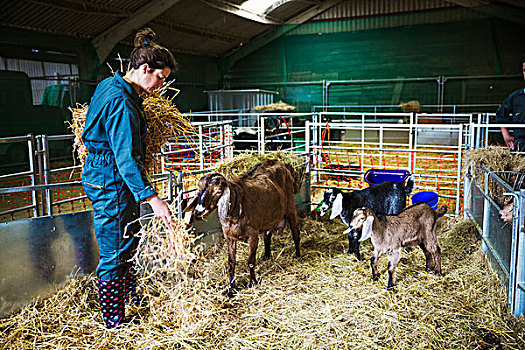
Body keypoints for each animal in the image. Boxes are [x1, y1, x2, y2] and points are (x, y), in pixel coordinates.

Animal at [184, 160, 298, 296]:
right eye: (200, 189)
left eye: (218, 192)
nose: (198, 211)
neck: (237, 207)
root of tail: (278, 161)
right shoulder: (229, 237)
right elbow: (231, 262)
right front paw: (231, 289)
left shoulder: (253, 234)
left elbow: (251, 261)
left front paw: (252, 283)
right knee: (267, 235)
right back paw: (266, 256)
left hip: (290, 206)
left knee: (295, 231)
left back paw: (297, 255)